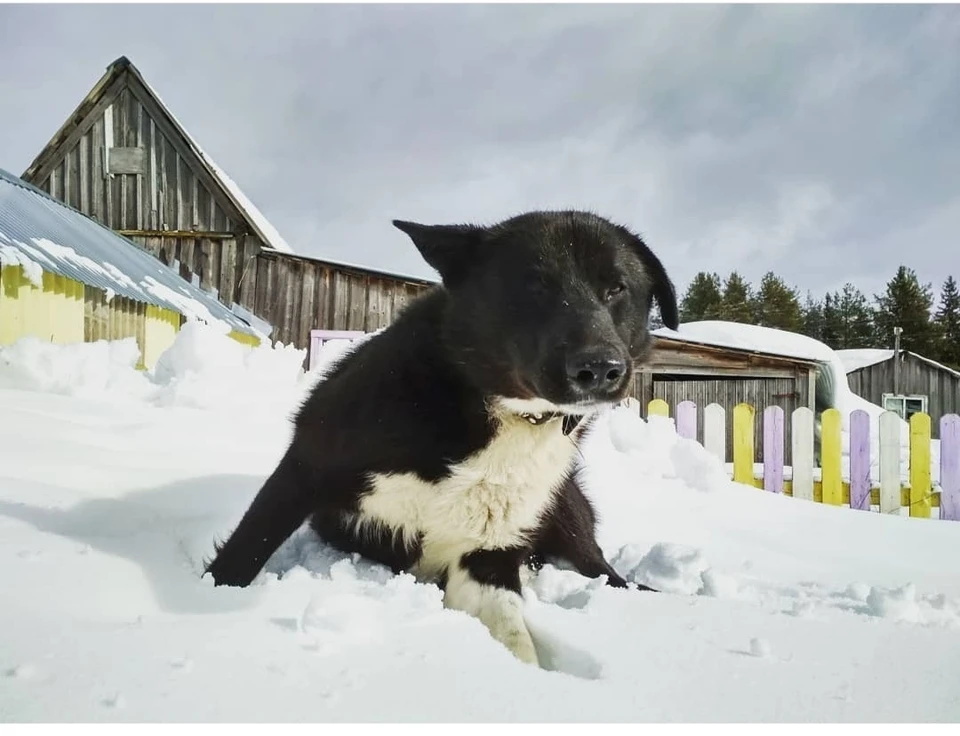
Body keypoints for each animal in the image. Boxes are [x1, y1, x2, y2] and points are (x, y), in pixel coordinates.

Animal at [205, 208, 680, 668]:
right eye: (535, 285)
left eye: (616, 288)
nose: (599, 368)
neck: (498, 410)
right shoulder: (305, 466)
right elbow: (241, 556)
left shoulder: (487, 555)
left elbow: (516, 640)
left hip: (565, 509)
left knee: (604, 570)